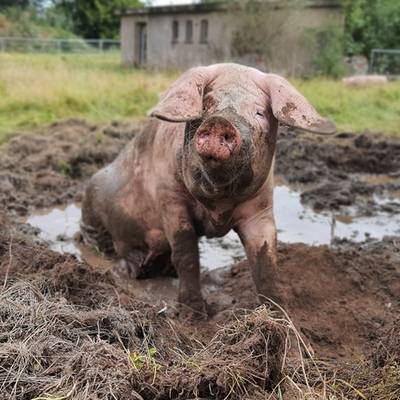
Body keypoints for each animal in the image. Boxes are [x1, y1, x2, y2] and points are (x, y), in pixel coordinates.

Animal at [80, 64, 334, 316]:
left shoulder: (260, 206)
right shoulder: (170, 199)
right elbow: (186, 253)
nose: (220, 121)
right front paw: (194, 314)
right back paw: (137, 268)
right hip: (91, 208)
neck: (218, 203)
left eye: (259, 113)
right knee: (101, 242)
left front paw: (278, 312)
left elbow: (265, 257)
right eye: (206, 105)